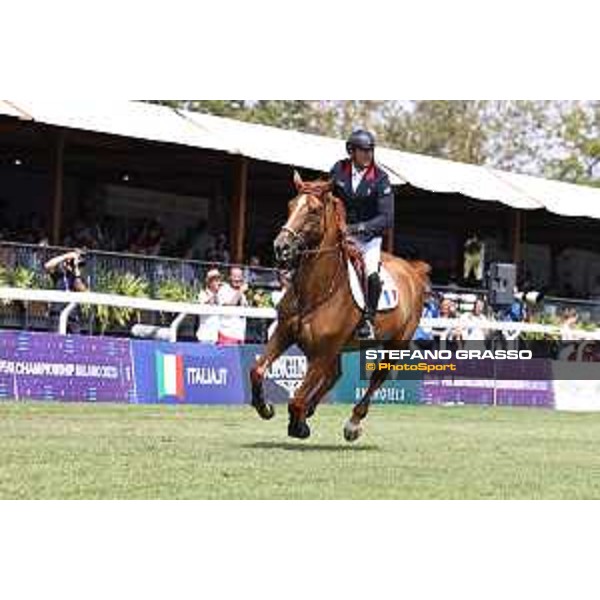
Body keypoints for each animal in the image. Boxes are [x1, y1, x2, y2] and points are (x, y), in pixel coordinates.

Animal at [248, 172, 432, 440]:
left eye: (314, 211)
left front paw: (298, 425)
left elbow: (296, 398)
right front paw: (265, 407)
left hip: (395, 343)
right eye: (291, 206)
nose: (281, 247)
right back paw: (311, 410)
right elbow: (257, 370)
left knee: (378, 375)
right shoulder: (285, 334)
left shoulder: (323, 351)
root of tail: (413, 271)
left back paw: (352, 423)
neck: (317, 291)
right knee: (334, 375)